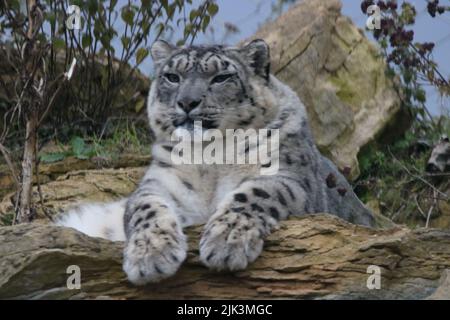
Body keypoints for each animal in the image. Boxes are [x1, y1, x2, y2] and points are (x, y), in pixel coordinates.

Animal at [58, 38, 374, 284]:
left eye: (221, 77)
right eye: (172, 76)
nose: (187, 102)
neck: (209, 158)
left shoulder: (288, 176)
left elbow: (255, 193)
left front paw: (227, 240)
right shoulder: (160, 182)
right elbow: (145, 208)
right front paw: (151, 254)